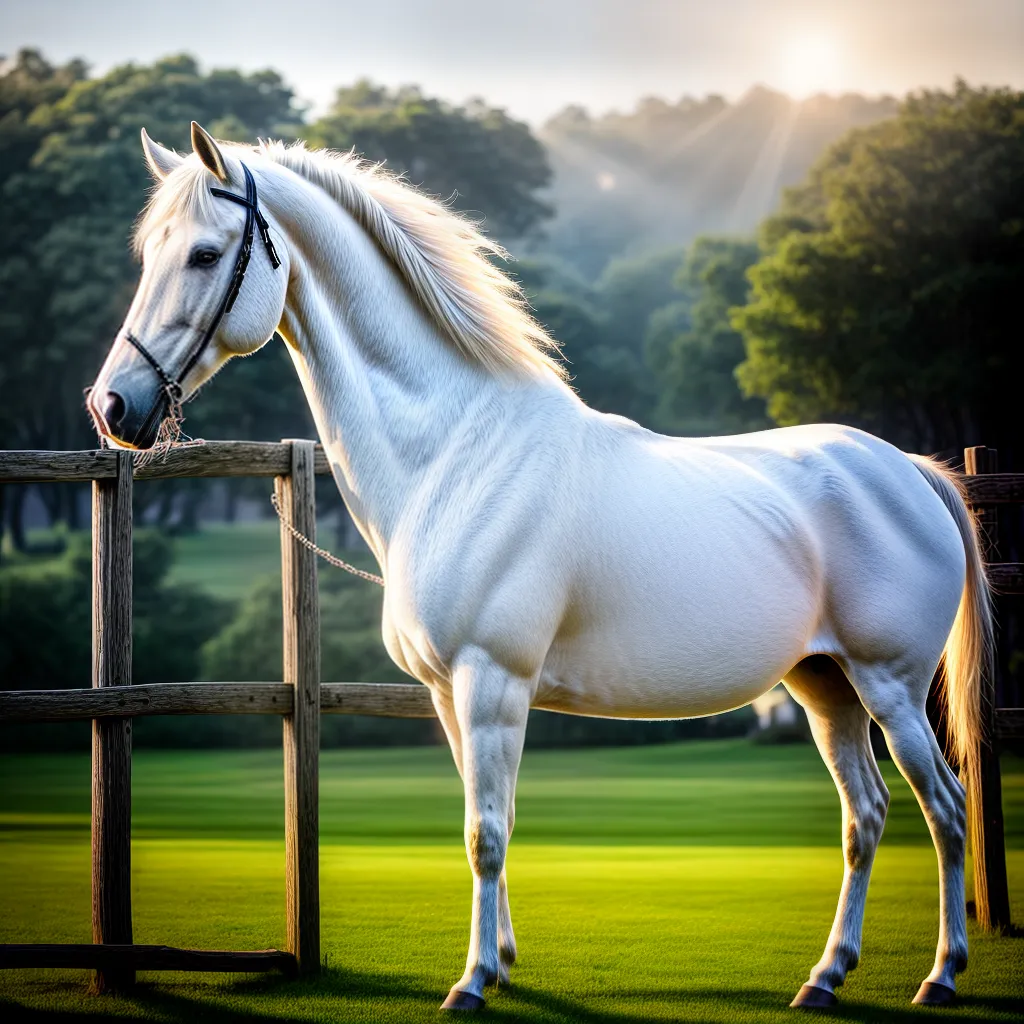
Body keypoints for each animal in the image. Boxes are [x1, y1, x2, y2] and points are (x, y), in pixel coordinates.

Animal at [87, 122, 991, 1011]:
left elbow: (486, 833)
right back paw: (825, 976)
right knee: (865, 816)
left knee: (945, 810)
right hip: (824, 686)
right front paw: (502, 962)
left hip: (889, 686)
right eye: (148, 253)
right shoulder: (449, 694)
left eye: (205, 254)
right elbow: (486, 819)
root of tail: (910, 469)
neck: (457, 450)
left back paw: (941, 974)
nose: (112, 406)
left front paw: (470, 983)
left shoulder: (493, 681)